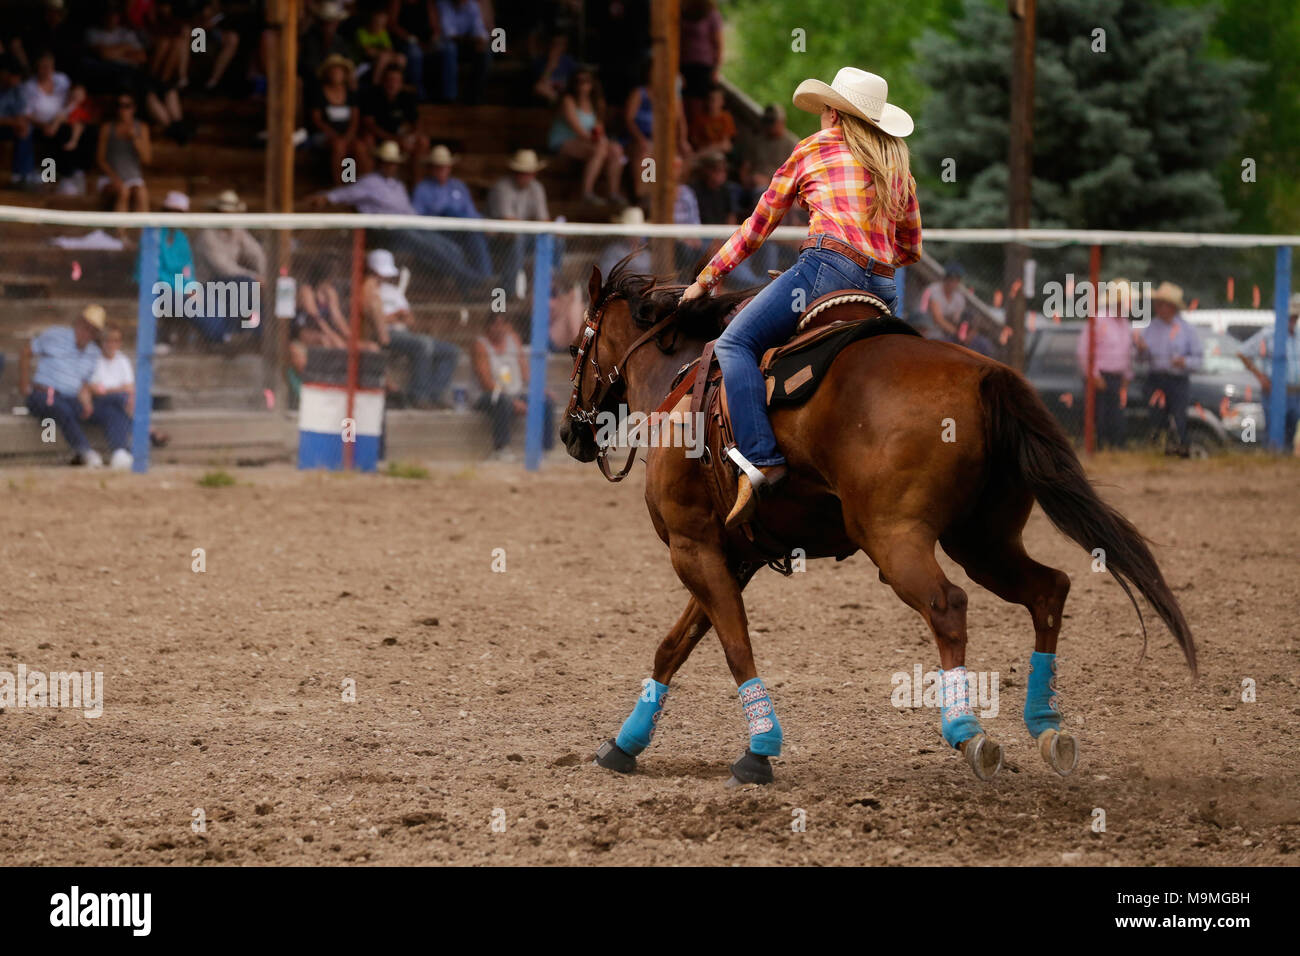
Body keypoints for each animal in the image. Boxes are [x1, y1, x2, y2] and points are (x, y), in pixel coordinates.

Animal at [559, 260, 1196, 785]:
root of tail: (985, 374)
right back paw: (1046, 724)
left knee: (948, 605)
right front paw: (625, 744)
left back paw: (968, 732)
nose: (569, 432)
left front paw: (760, 751)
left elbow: (734, 646)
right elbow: (675, 646)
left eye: (573, 349)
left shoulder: (692, 546)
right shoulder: (730, 555)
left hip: (896, 540)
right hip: (983, 542)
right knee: (1049, 590)